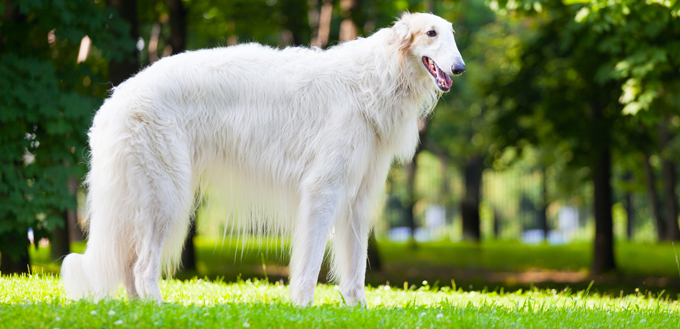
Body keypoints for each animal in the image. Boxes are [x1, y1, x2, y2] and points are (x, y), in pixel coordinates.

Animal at [61, 12, 464, 304]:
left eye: (451, 34)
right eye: (431, 33)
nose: (459, 68)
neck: (373, 79)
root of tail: (114, 101)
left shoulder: (358, 199)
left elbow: (355, 275)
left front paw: (358, 312)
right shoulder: (323, 189)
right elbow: (310, 264)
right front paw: (302, 308)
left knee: (129, 266)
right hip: (166, 195)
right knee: (143, 267)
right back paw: (159, 309)